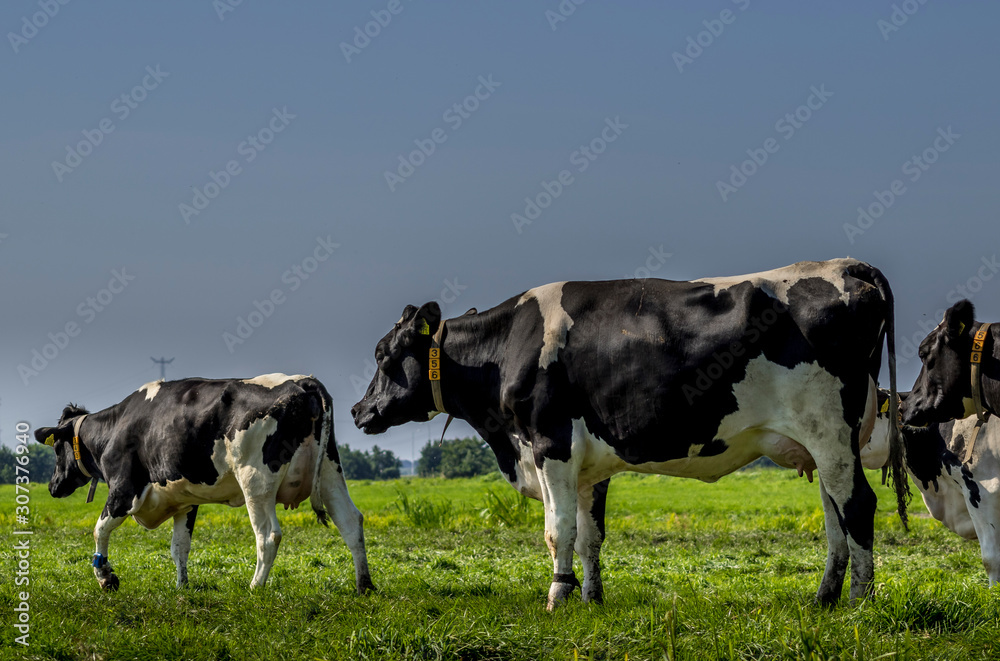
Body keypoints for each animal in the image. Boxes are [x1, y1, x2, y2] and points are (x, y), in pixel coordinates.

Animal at [34, 372, 376, 592]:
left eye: (56, 448)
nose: (53, 486)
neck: (116, 427)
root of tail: (302, 380)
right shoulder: (185, 501)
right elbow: (179, 547)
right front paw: (182, 587)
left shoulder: (123, 489)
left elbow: (99, 529)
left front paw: (106, 577)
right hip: (331, 470)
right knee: (350, 521)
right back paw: (364, 585)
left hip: (256, 480)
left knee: (268, 535)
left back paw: (255, 587)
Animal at [352, 258, 908, 608]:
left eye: (383, 355)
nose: (359, 411)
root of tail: (845, 265)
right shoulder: (587, 464)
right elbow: (589, 536)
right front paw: (591, 598)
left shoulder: (550, 443)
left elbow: (558, 531)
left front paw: (557, 597)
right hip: (827, 442)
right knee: (836, 516)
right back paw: (824, 599)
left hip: (829, 430)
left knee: (858, 506)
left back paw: (859, 602)